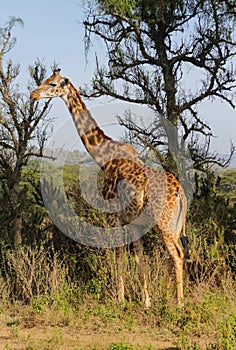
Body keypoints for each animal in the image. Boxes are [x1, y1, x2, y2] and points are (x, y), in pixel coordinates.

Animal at [30, 69, 188, 306]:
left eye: (53, 84)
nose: (33, 95)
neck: (104, 158)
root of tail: (180, 194)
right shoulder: (134, 223)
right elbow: (139, 258)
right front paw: (146, 300)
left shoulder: (113, 216)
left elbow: (120, 255)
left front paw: (120, 299)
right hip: (175, 225)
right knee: (176, 254)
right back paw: (165, 295)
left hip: (163, 224)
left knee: (176, 255)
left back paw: (178, 303)